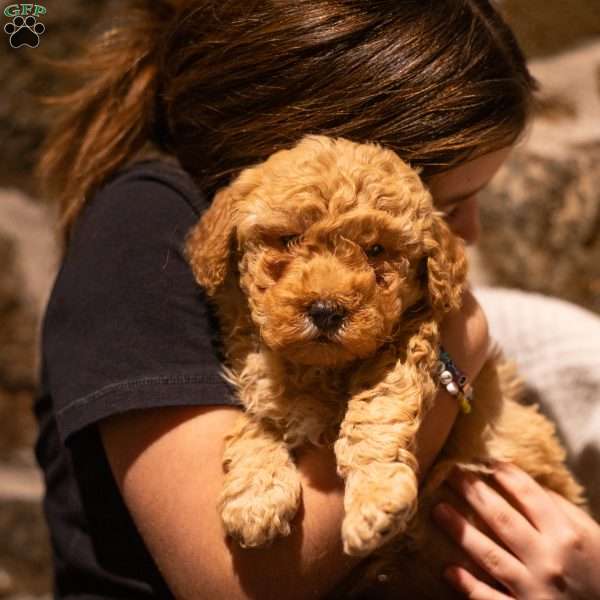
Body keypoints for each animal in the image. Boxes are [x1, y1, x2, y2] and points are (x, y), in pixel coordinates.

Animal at [185, 134, 584, 588]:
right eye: (287, 240)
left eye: (376, 250)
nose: (326, 311)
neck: (320, 367)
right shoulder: (263, 378)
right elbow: (255, 423)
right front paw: (254, 497)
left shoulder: (408, 346)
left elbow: (374, 420)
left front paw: (374, 503)